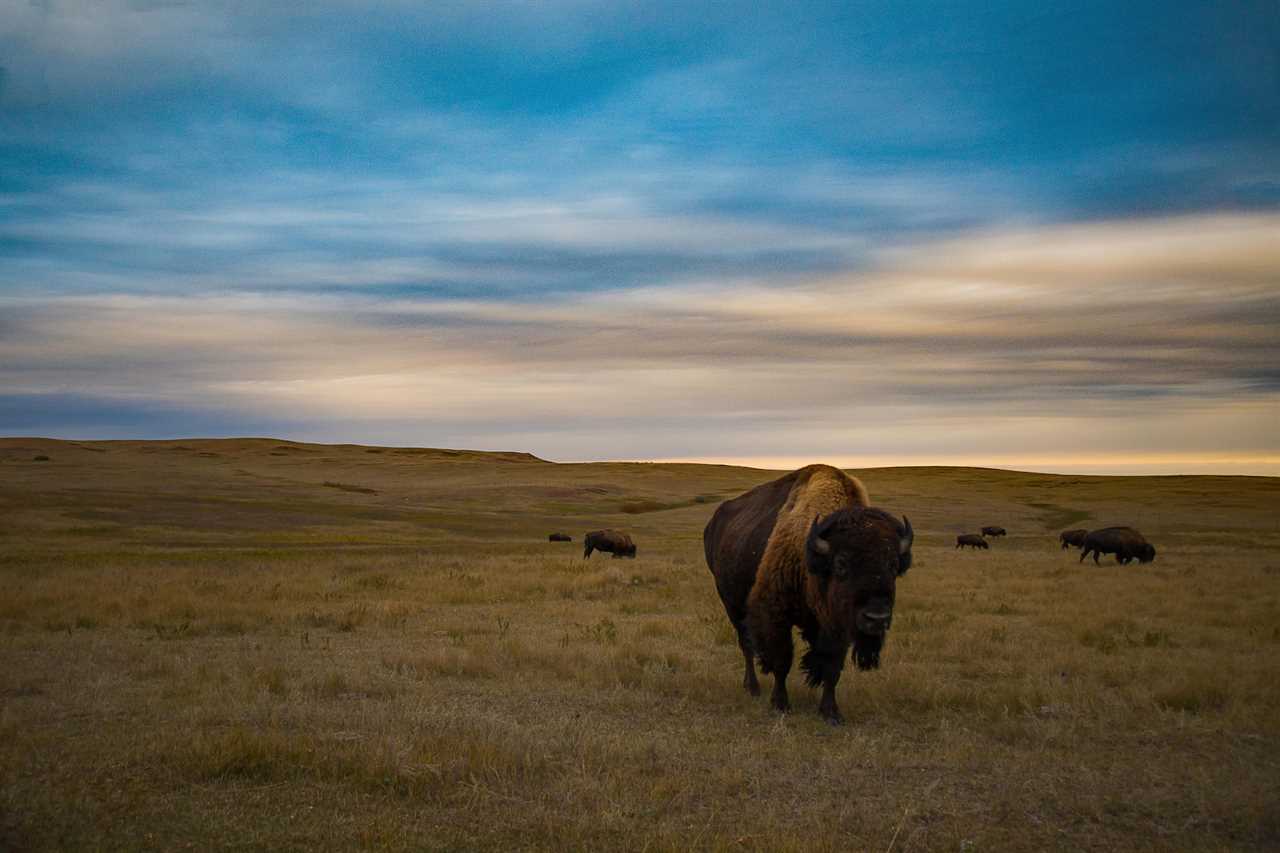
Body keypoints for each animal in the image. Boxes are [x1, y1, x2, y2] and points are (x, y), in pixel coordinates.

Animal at [706, 461, 916, 722]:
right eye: (841, 563)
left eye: (893, 565)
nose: (876, 618)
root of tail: (714, 522)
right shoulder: (776, 614)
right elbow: (782, 661)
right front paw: (780, 703)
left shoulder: (837, 626)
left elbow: (832, 667)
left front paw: (831, 712)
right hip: (731, 603)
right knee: (746, 644)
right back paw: (752, 687)